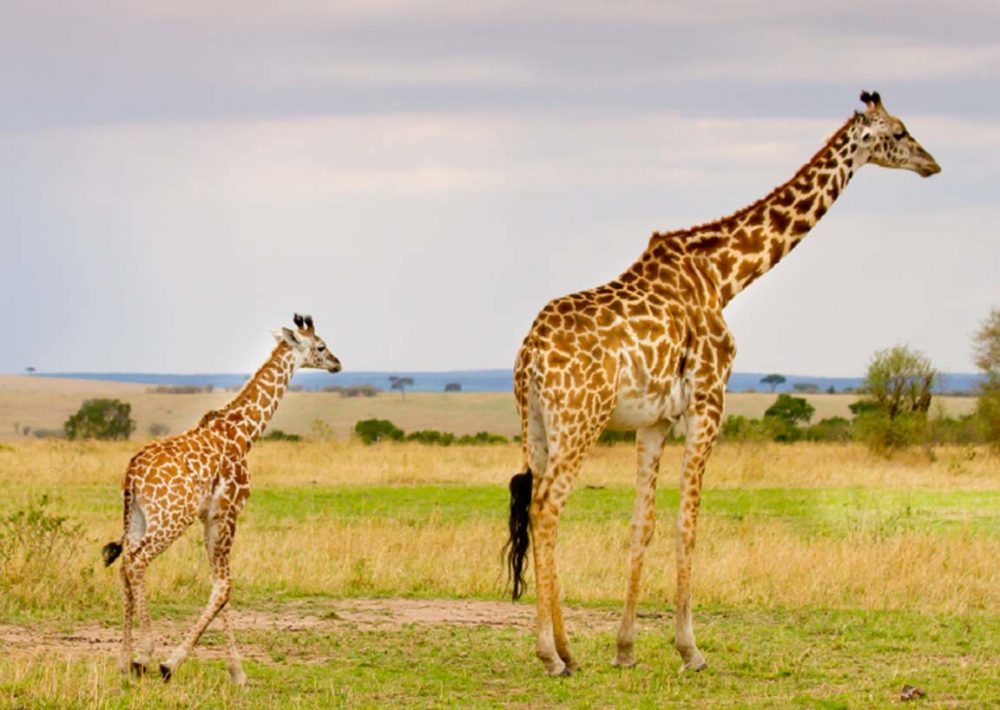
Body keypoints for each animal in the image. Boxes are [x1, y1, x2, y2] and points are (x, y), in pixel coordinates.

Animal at [102, 316, 342, 684]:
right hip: (172, 516)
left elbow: (221, 584)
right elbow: (225, 585)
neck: (244, 433)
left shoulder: (211, 516)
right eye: (320, 346)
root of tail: (131, 473)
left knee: (125, 562)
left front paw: (236, 672)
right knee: (137, 560)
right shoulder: (228, 511)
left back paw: (123, 662)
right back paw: (144, 655)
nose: (337, 364)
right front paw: (172, 663)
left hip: (139, 517)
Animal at [508, 92, 936, 676]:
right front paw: (690, 649)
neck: (722, 276)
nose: (931, 164)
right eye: (898, 131)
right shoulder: (710, 402)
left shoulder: (655, 422)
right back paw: (553, 654)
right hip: (581, 419)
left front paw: (625, 649)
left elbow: (643, 524)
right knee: (549, 506)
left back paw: (565, 650)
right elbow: (688, 522)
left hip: (536, 424)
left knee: (534, 505)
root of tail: (530, 354)